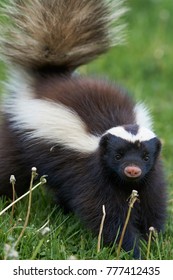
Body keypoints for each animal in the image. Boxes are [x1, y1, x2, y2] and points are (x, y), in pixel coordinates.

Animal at [0, 0, 166, 260]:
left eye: (146, 156)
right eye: (117, 155)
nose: (132, 170)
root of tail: (48, 81)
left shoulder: (151, 177)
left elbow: (152, 205)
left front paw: (154, 243)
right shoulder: (93, 174)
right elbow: (107, 215)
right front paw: (131, 249)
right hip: (16, 141)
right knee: (8, 173)